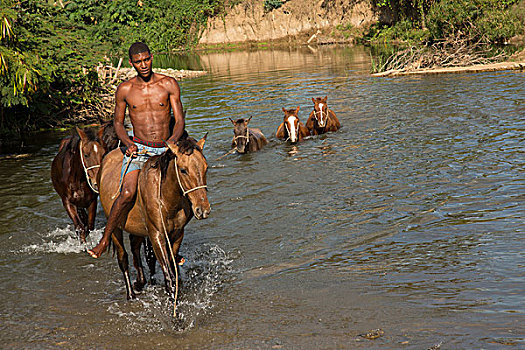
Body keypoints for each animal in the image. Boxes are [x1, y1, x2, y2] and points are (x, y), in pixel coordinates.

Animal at [99, 135, 210, 300]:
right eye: (183, 170)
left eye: (206, 168)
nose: (203, 210)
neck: (166, 198)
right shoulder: (157, 234)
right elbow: (169, 276)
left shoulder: (177, 233)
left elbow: (172, 264)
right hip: (115, 227)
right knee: (123, 256)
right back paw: (130, 293)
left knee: (135, 247)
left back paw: (140, 282)